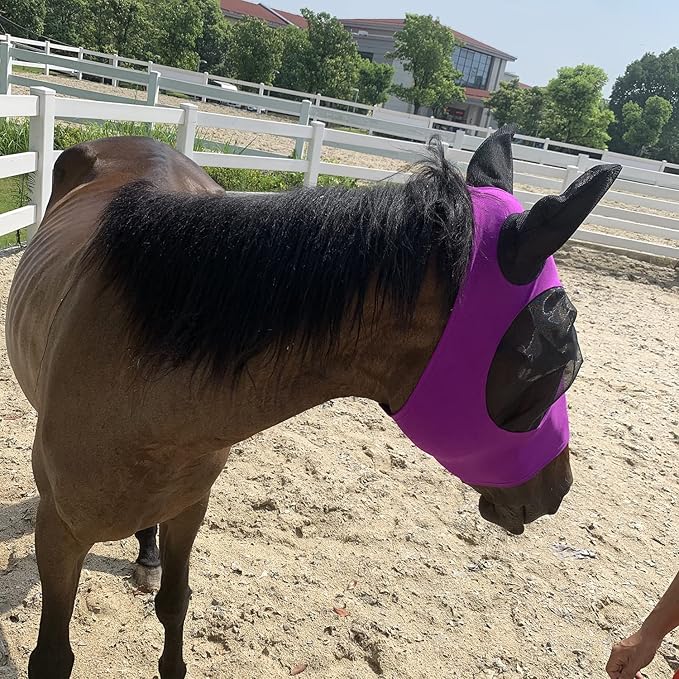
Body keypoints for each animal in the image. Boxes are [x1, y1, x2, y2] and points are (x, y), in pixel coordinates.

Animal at [5, 126, 620, 678]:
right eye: (556, 358)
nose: (558, 489)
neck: (147, 379)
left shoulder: (189, 508)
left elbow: (174, 606)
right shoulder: (58, 536)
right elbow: (53, 658)